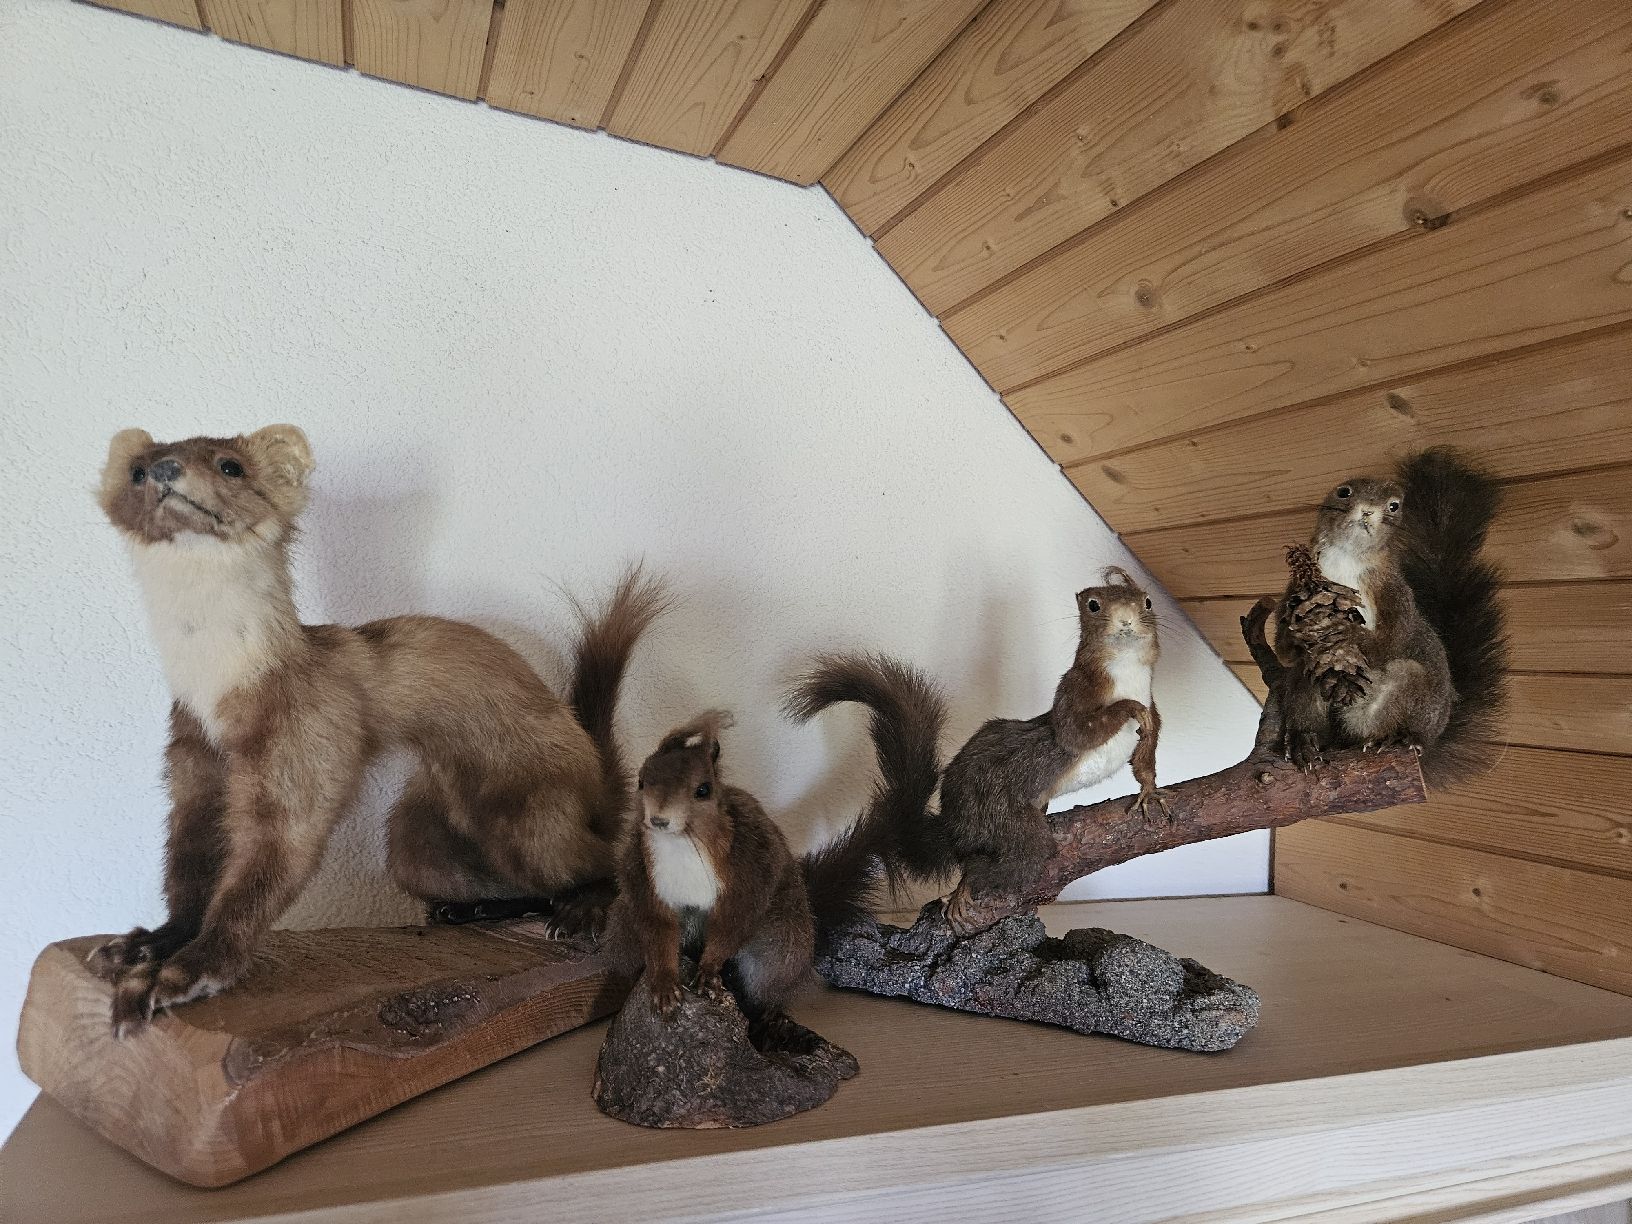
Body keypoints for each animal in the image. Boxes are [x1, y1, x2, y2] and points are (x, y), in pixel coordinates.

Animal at [91, 426, 665, 1035]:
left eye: (230, 465)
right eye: (135, 469)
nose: (164, 470)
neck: (217, 690)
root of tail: (589, 760)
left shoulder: (305, 746)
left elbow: (262, 871)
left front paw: (185, 972)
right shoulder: (190, 759)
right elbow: (188, 867)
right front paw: (144, 945)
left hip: (529, 814)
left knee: (602, 858)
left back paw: (578, 909)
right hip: (415, 839)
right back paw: (467, 909)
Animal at [605, 708, 913, 1022]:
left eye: (703, 790)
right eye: (641, 781)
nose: (659, 819)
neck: (681, 844)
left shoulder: (750, 869)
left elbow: (732, 924)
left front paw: (708, 971)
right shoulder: (641, 878)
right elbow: (658, 930)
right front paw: (665, 985)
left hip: (782, 942)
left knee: (770, 980)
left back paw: (766, 1014)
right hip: (622, 927)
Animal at [786, 567, 1163, 938]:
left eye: (1147, 600)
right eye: (1093, 604)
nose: (1126, 620)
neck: (1127, 672)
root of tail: (955, 822)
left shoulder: (1154, 712)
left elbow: (1145, 757)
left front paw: (1149, 792)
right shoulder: (1075, 693)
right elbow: (1074, 733)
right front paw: (1128, 708)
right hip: (1001, 813)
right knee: (1011, 860)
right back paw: (964, 887)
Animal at [1266, 447, 1508, 785]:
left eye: (1394, 505)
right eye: (1343, 491)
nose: (1368, 511)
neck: (1345, 557)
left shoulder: (1394, 591)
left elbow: (1393, 639)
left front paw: (1350, 634)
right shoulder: (1293, 593)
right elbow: (1283, 650)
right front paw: (1296, 634)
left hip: (1408, 690)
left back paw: (1399, 737)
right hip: (1310, 679)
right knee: (1305, 686)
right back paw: (1304, 740)